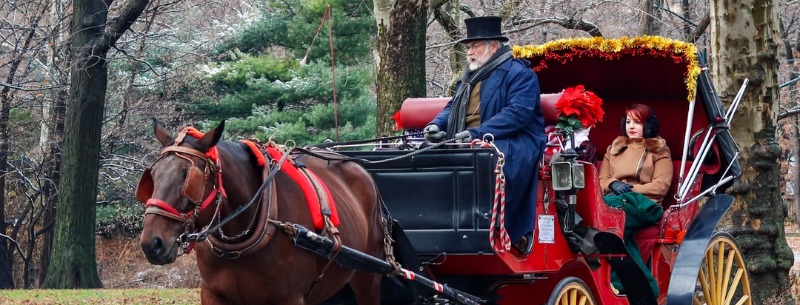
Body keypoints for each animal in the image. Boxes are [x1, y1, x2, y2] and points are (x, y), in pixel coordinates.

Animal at [137, 119, 384, 304]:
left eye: (187, 178)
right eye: (153, 176)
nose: (152, 244)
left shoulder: (289, 299)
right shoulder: (212, 295)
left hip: (369, 278)